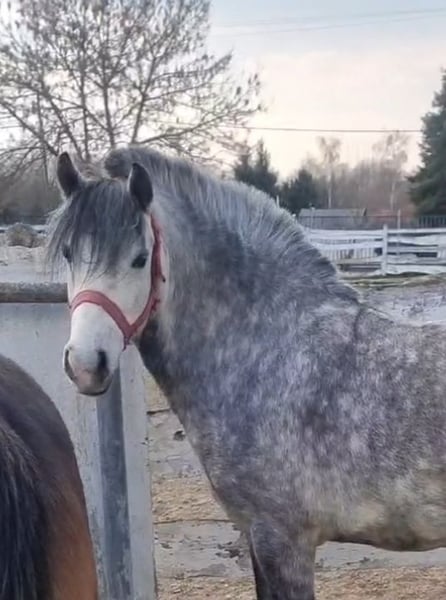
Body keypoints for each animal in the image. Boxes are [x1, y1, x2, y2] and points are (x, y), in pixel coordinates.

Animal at [47, 146, 446, 600]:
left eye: (139, 259)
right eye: (68, 253)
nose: (85, 364)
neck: (268, 353)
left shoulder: (283, 541)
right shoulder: (256, 536)